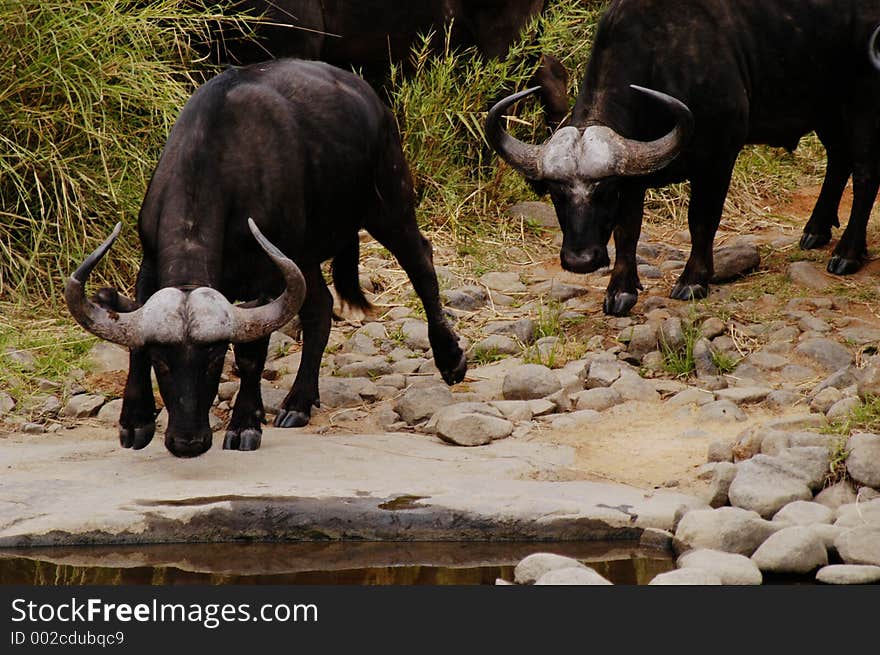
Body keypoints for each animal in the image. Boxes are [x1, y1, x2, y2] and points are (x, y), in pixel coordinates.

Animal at [66, 59, 468, 458]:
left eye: (215, 359)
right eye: (161, 361)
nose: (187, 442)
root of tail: (373, 101)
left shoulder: (268, 277)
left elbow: (251, 355)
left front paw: (244, 424)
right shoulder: (150, 264)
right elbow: (135, 338)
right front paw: (135, 421)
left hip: (390, 205)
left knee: (421, 263)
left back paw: (450, 359)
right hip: (306, 255)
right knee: (320, 307)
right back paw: (298, 403)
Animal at [484, 0, 880, 318]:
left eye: (605, 192)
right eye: (556, 194)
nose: (580, 261)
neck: (661, 61)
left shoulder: (718, 159)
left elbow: (701, 220)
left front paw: (693, 280)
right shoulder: (635, 175)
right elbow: (628, 231)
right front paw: (620, 290)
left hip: (861, 100)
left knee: (864, 173)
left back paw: (847, 253)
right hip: (825, 109)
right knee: (839, 159)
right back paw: (816, 229)